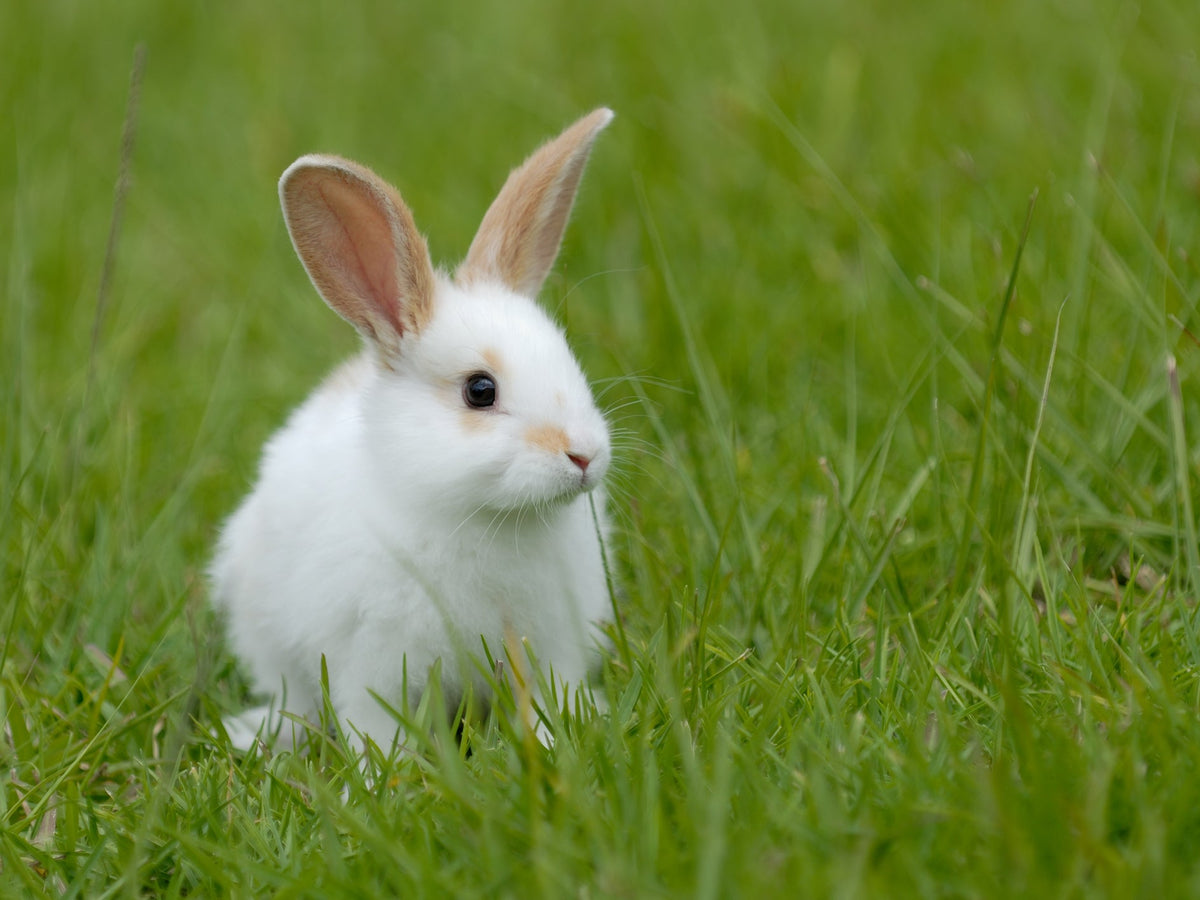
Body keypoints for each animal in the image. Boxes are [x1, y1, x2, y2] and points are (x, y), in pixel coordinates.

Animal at [210, 108, 617, 754]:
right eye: (480, 391)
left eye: (568, 359)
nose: (584, 456)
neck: (484, 517)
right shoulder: (373, 659)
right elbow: (375, 725)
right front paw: (384, 772)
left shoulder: (552, 643)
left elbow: (548, 698)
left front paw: (559, 742)